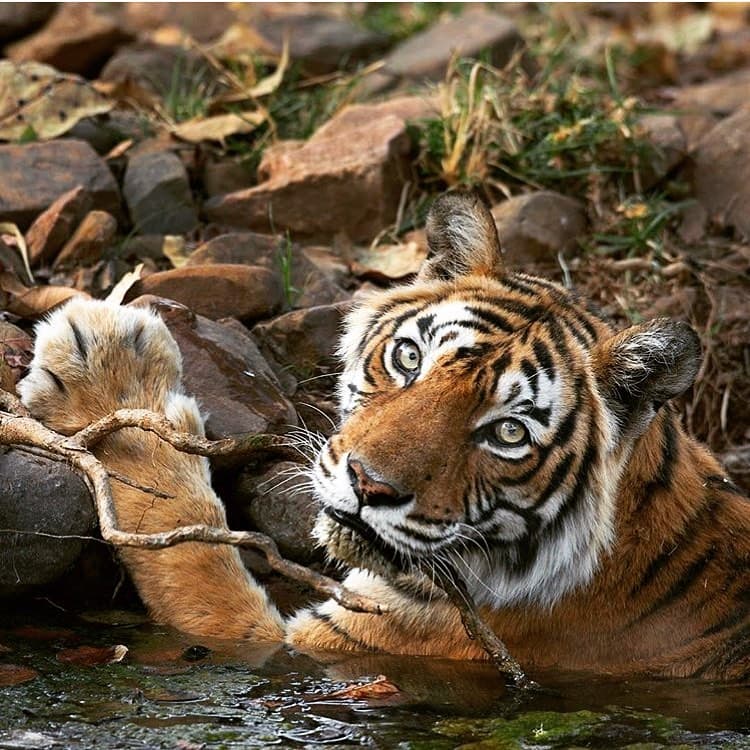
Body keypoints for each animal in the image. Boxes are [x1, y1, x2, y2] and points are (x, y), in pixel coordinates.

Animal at [18, 192, 750, 681]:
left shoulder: (306, 640)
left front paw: (109, 369)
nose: (370, 486)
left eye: (507, 432)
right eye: (407, 358)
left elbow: (186, 541)